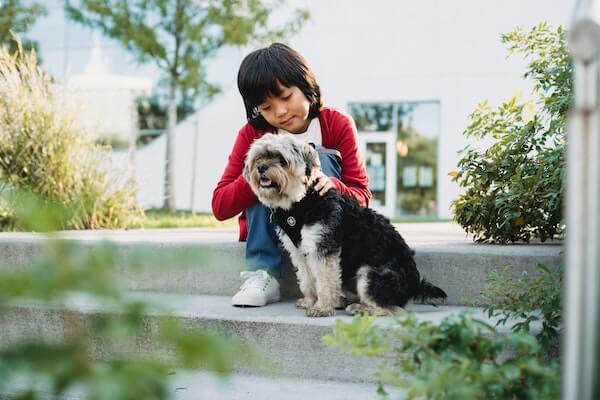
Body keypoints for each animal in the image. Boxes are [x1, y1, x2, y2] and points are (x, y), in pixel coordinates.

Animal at [244, 134, 446, 316]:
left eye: (282, 160)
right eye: (259, 157)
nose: (261, 167)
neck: (301, 202)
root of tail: (415, 285)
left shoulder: (323, 248)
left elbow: (324, 281)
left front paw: (322, 308)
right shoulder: (300, 252)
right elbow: (307, 280)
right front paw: (310, 301)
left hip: (370, 273)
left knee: (391, 308)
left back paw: (361, 308)